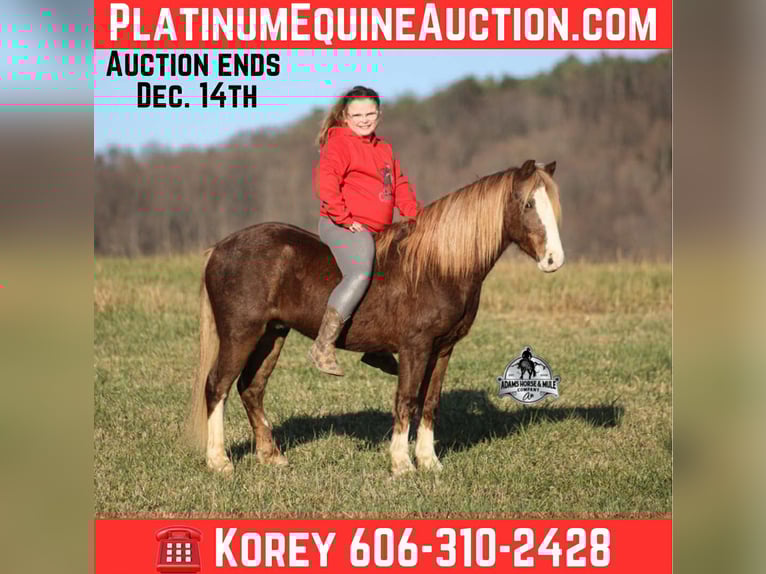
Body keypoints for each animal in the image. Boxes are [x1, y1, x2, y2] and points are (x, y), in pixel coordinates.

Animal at [186, 159, 564, 476]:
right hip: (240, 333)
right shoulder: (415, 347)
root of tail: (219, 249)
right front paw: (402, 463)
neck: (438, 266)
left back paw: (271, 455)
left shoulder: (442, 349)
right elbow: (406, 400)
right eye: (528, 205)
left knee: (251, 388)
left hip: (271, 335)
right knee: (217, 386)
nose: (554, 260)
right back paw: (219, 461)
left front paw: (429, 461)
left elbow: (430, 402)